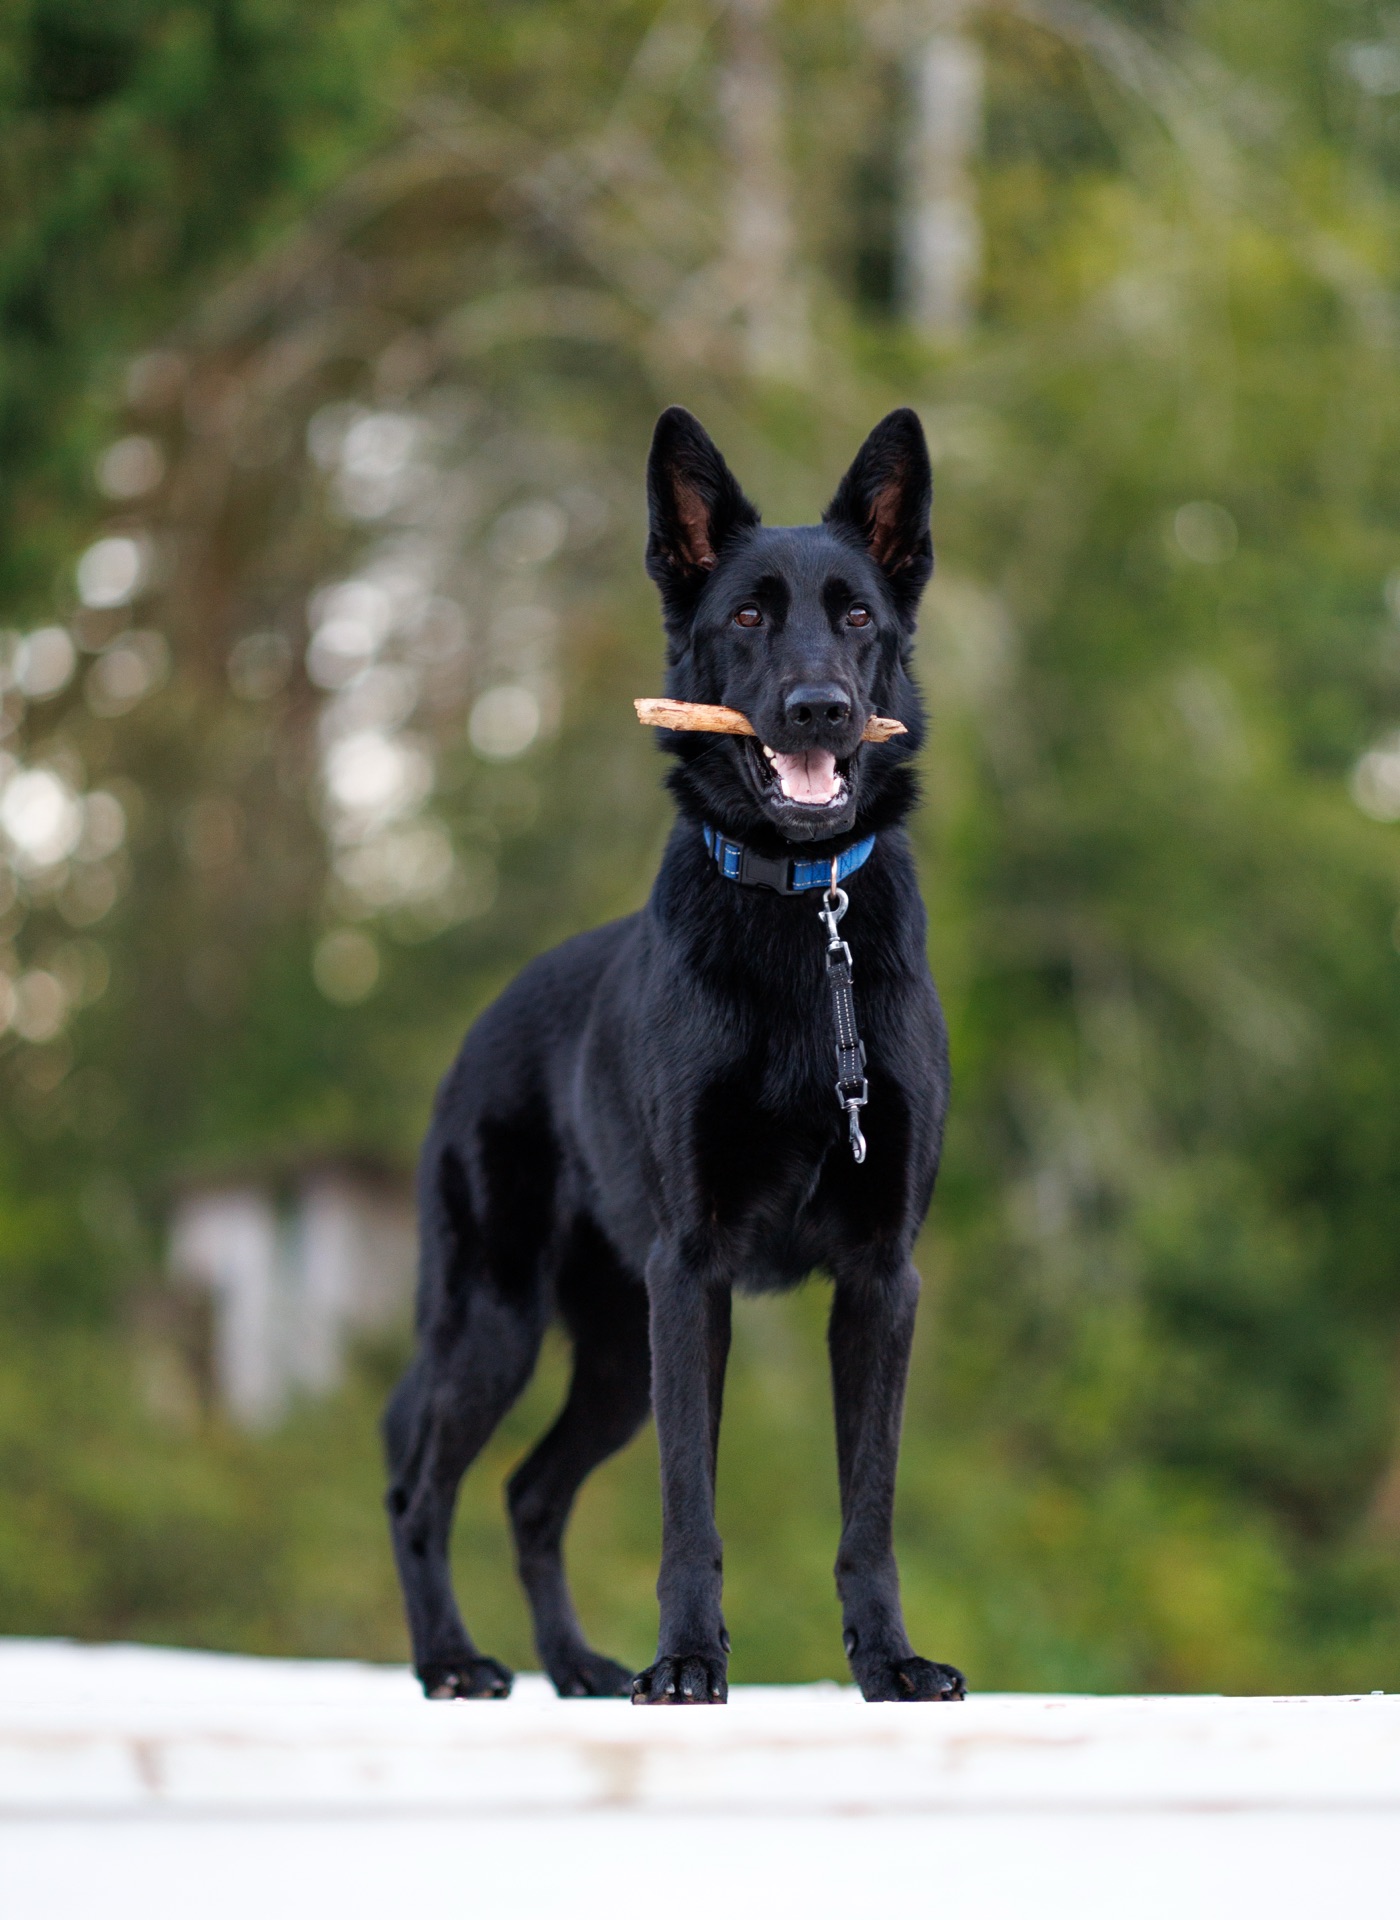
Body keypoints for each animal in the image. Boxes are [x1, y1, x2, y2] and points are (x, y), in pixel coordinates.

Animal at [384, 405, 965, 1704]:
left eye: (856, 615)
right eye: (745, 616)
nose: (818, 709)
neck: (804, 916)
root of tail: (483, 1027)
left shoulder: (879, 1281)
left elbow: (869, 1504)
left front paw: (887, 1663)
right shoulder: (691, 1274)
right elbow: (689, 1506)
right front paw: (689, 1663)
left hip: (609, 1354)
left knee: (528, 1490)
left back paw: (576, 1666)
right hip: (497, 1322)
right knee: (419, 1480)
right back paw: (453, 1660)